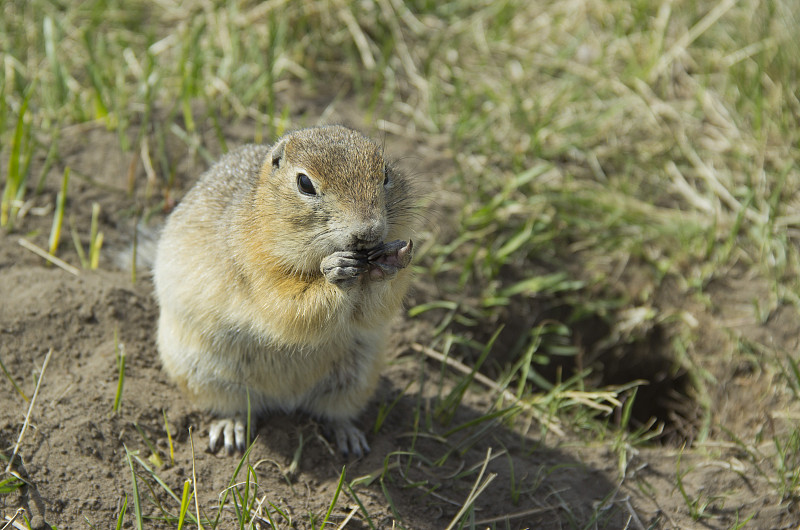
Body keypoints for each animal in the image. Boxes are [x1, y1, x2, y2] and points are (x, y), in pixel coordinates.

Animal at [154, 125, 422, 454]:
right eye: (305, 183)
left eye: (385, 173)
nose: (369, 231)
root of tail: (285, 400)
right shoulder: (254, 267)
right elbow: (287, 306)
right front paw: (335, 272)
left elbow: (373, 312)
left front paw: (390, 262)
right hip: (205, 374)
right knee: (234, 407)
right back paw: (230, 429)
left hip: (356, 378)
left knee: (333, 411)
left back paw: (349, 437)